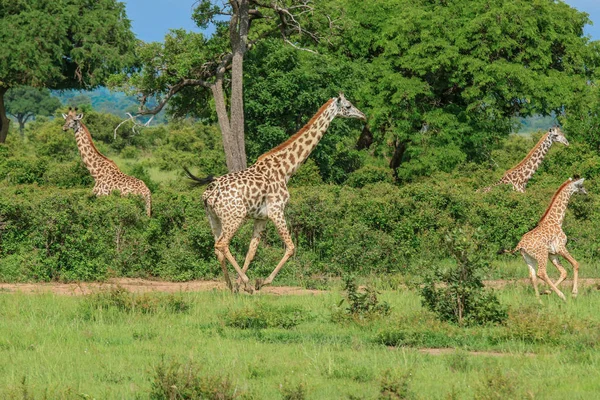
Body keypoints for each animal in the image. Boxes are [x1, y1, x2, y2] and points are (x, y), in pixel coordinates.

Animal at [186, 94, 366, 294]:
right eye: (348, 106)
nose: (363, 116)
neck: (286, 169)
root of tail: (208, 194)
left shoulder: (261, 218)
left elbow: (251, 252)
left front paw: (242, 285)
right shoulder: (276, 211)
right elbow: (291, 248)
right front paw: (260, 282)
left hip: (213, 218)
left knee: (218, 247)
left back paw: (232, 286)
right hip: (234, 217)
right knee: (222, 244)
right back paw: (245, 283)